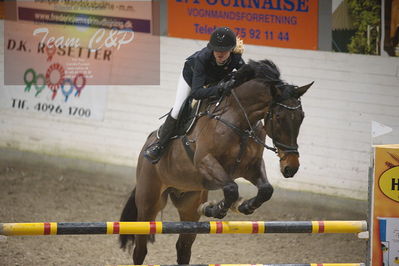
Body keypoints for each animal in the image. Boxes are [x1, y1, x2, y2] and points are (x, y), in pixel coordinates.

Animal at [120, 59, 314, 264]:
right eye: (278, 117)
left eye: (301, 117)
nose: (291, 167)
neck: (239, 120)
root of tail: (146, 146)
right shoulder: (205, 162)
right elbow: (231, 188)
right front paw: (215, 209)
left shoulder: (251, 167)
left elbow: (266, 190)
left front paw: (244, 206)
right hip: (148, 203)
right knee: (140, 250)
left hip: (189, 204)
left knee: (183, 248)